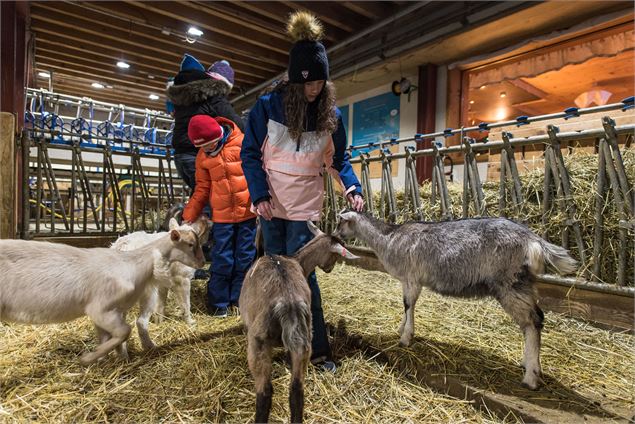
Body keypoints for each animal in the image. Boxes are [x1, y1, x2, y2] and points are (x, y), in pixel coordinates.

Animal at [336, 212, 580, 390]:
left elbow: (408, 304)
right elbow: (407, 306)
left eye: (341, 223)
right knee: (536, 319)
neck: (389, 238)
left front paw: (405, 338)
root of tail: (534, 240)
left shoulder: (412, 277)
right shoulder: (409, 280)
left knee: (532, 321)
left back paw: (530, 377)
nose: (334, 234)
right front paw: (401, 329)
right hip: (523, 282)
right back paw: (529, 364)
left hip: (509, 282)